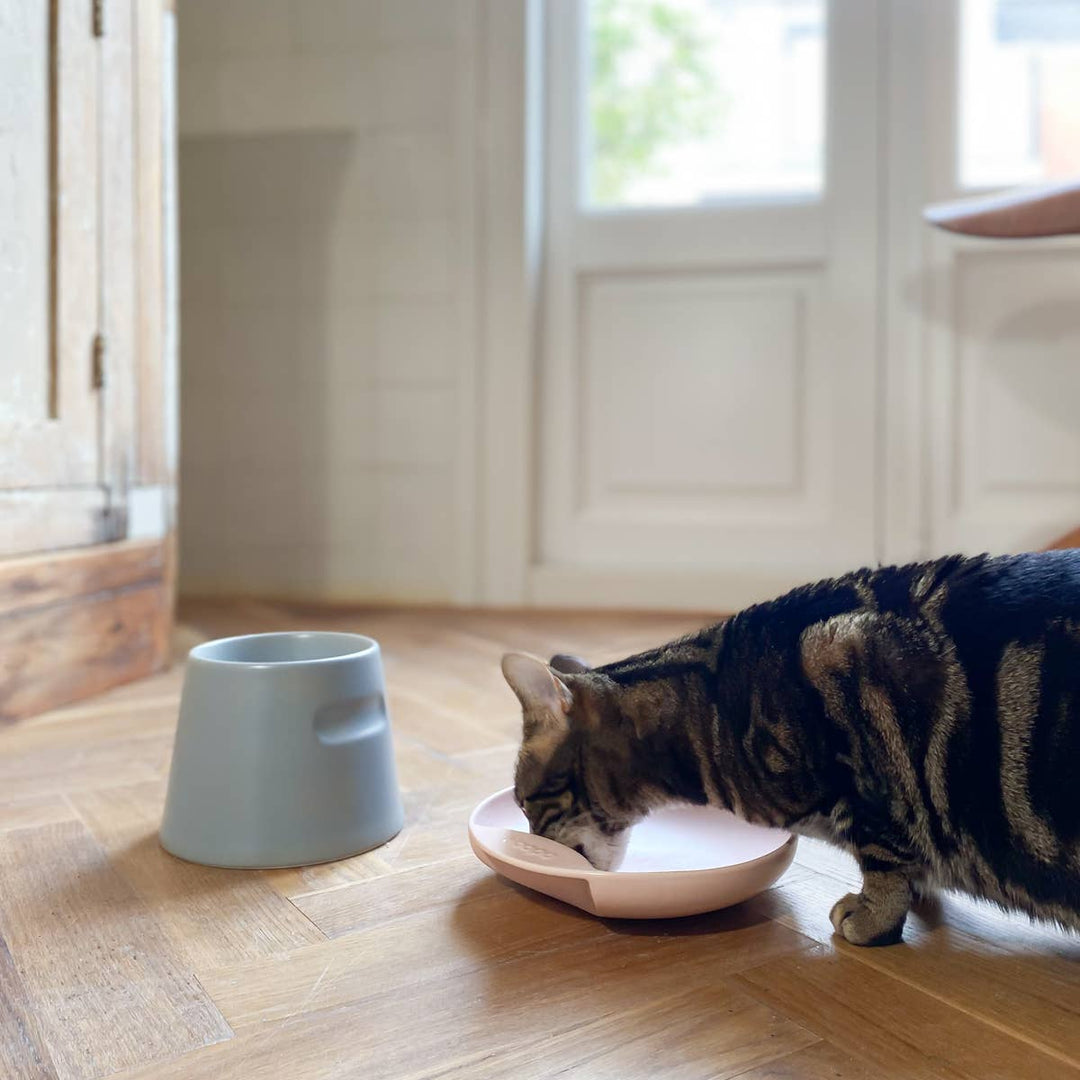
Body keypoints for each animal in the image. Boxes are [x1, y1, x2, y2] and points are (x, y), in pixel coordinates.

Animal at [501, 557, 1080, 946]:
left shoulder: (864, 726)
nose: (531, 843)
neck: (711, 705)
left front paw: (874, 914)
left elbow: (883, 854)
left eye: (525, 803)